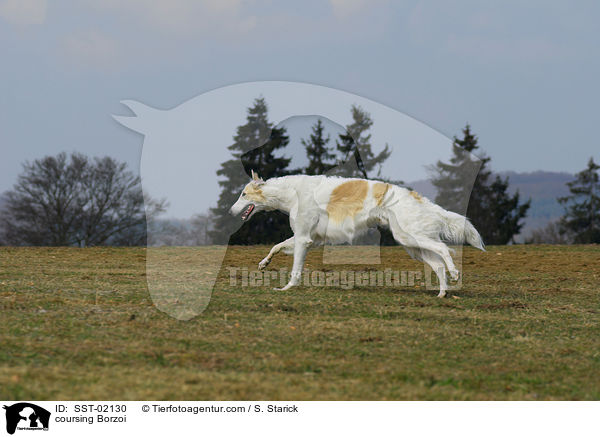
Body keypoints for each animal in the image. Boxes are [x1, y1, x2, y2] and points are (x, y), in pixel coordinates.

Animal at [227, 170, 486, 296]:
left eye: (243, 194)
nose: (230, 211)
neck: (292, 193)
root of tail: (417, 197)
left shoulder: (304, 239)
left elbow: (295, 270)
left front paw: (286, 288)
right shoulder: (308, 238)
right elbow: (276, 246)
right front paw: (264, 264)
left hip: (412, 237)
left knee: (444, 250)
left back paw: (455, 274)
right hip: (411, 243)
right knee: (438, 264)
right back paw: (442, 294)